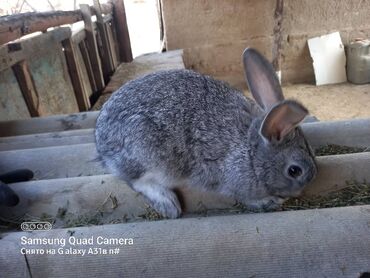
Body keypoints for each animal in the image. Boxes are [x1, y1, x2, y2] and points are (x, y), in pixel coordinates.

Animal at [95, 47, 318, 218]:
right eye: (294, 170)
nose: (305, 187)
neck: (252, 152)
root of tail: (101, 142)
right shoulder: (234, 180)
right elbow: (245, 198)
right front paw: (271, 201)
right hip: (147, 154)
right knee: (136, 180)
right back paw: (169, 203)